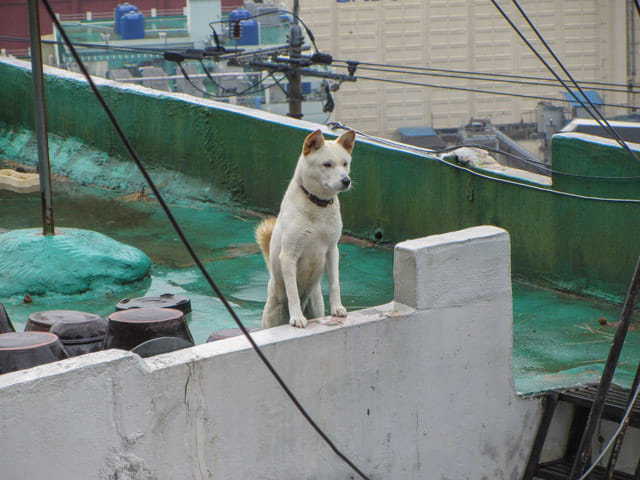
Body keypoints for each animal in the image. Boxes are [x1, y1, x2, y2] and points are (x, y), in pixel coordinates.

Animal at [255, 129, 356, 328]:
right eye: (327, 164)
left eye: (345, 163)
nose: (346, 180)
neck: (317, 204)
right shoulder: (289, 255)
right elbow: (293, 291)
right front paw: (296, 317)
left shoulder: (332, 250)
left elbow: (335, 284)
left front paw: (337, 308)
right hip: (272, 314)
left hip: (316, 305)